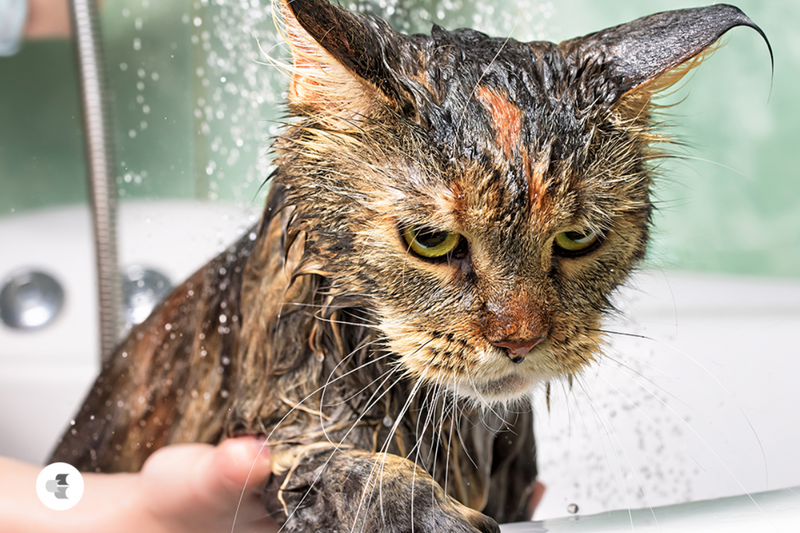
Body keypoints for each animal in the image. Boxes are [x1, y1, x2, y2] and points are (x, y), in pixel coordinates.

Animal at [50, 2, 768, 528]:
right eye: (430, 240)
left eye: (576, 239)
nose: (519, 340)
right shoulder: (283, 420)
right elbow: (354, 472)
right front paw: (426, 514)